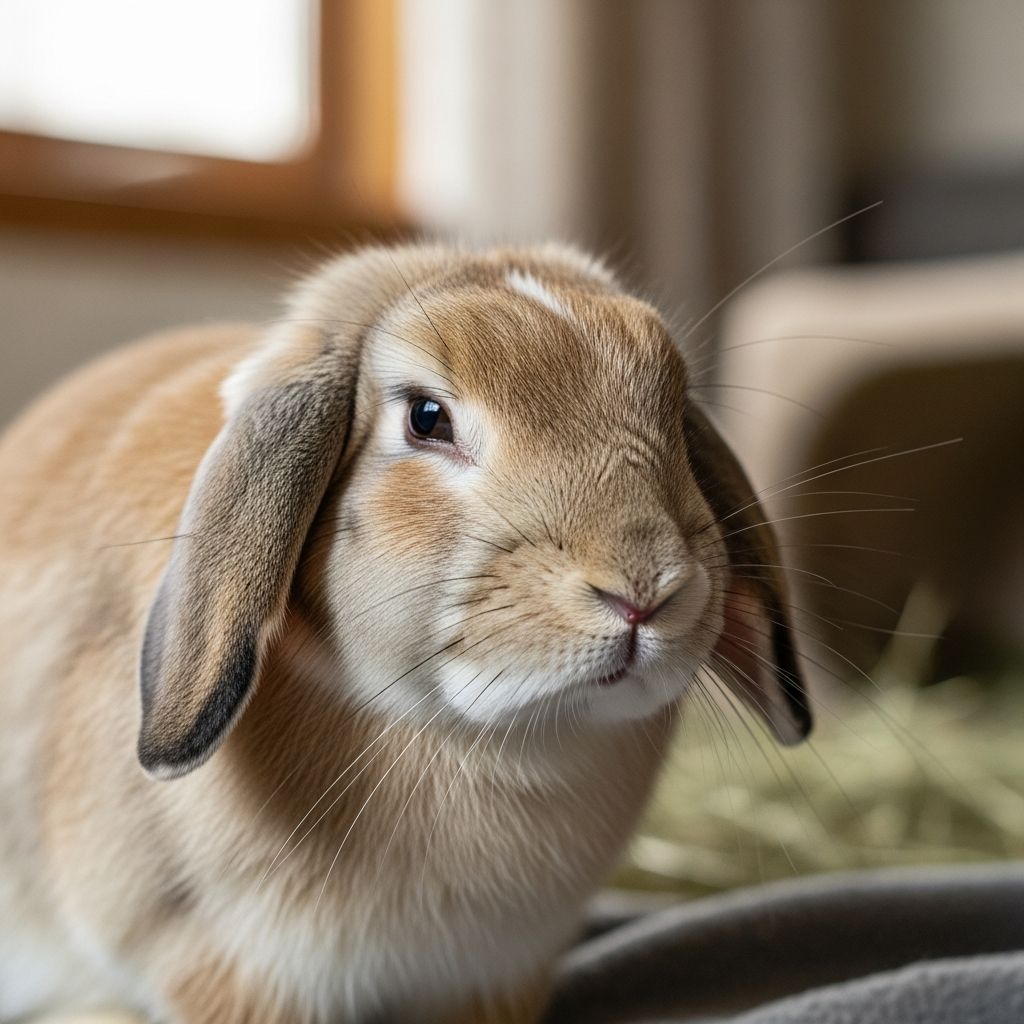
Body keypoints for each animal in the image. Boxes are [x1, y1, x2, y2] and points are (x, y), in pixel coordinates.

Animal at [0, 243, 811, 1024]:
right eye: (426, 417)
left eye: (674, 414)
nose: (644, 592)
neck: (479, 741)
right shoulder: (230, 967)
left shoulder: (496, 976)